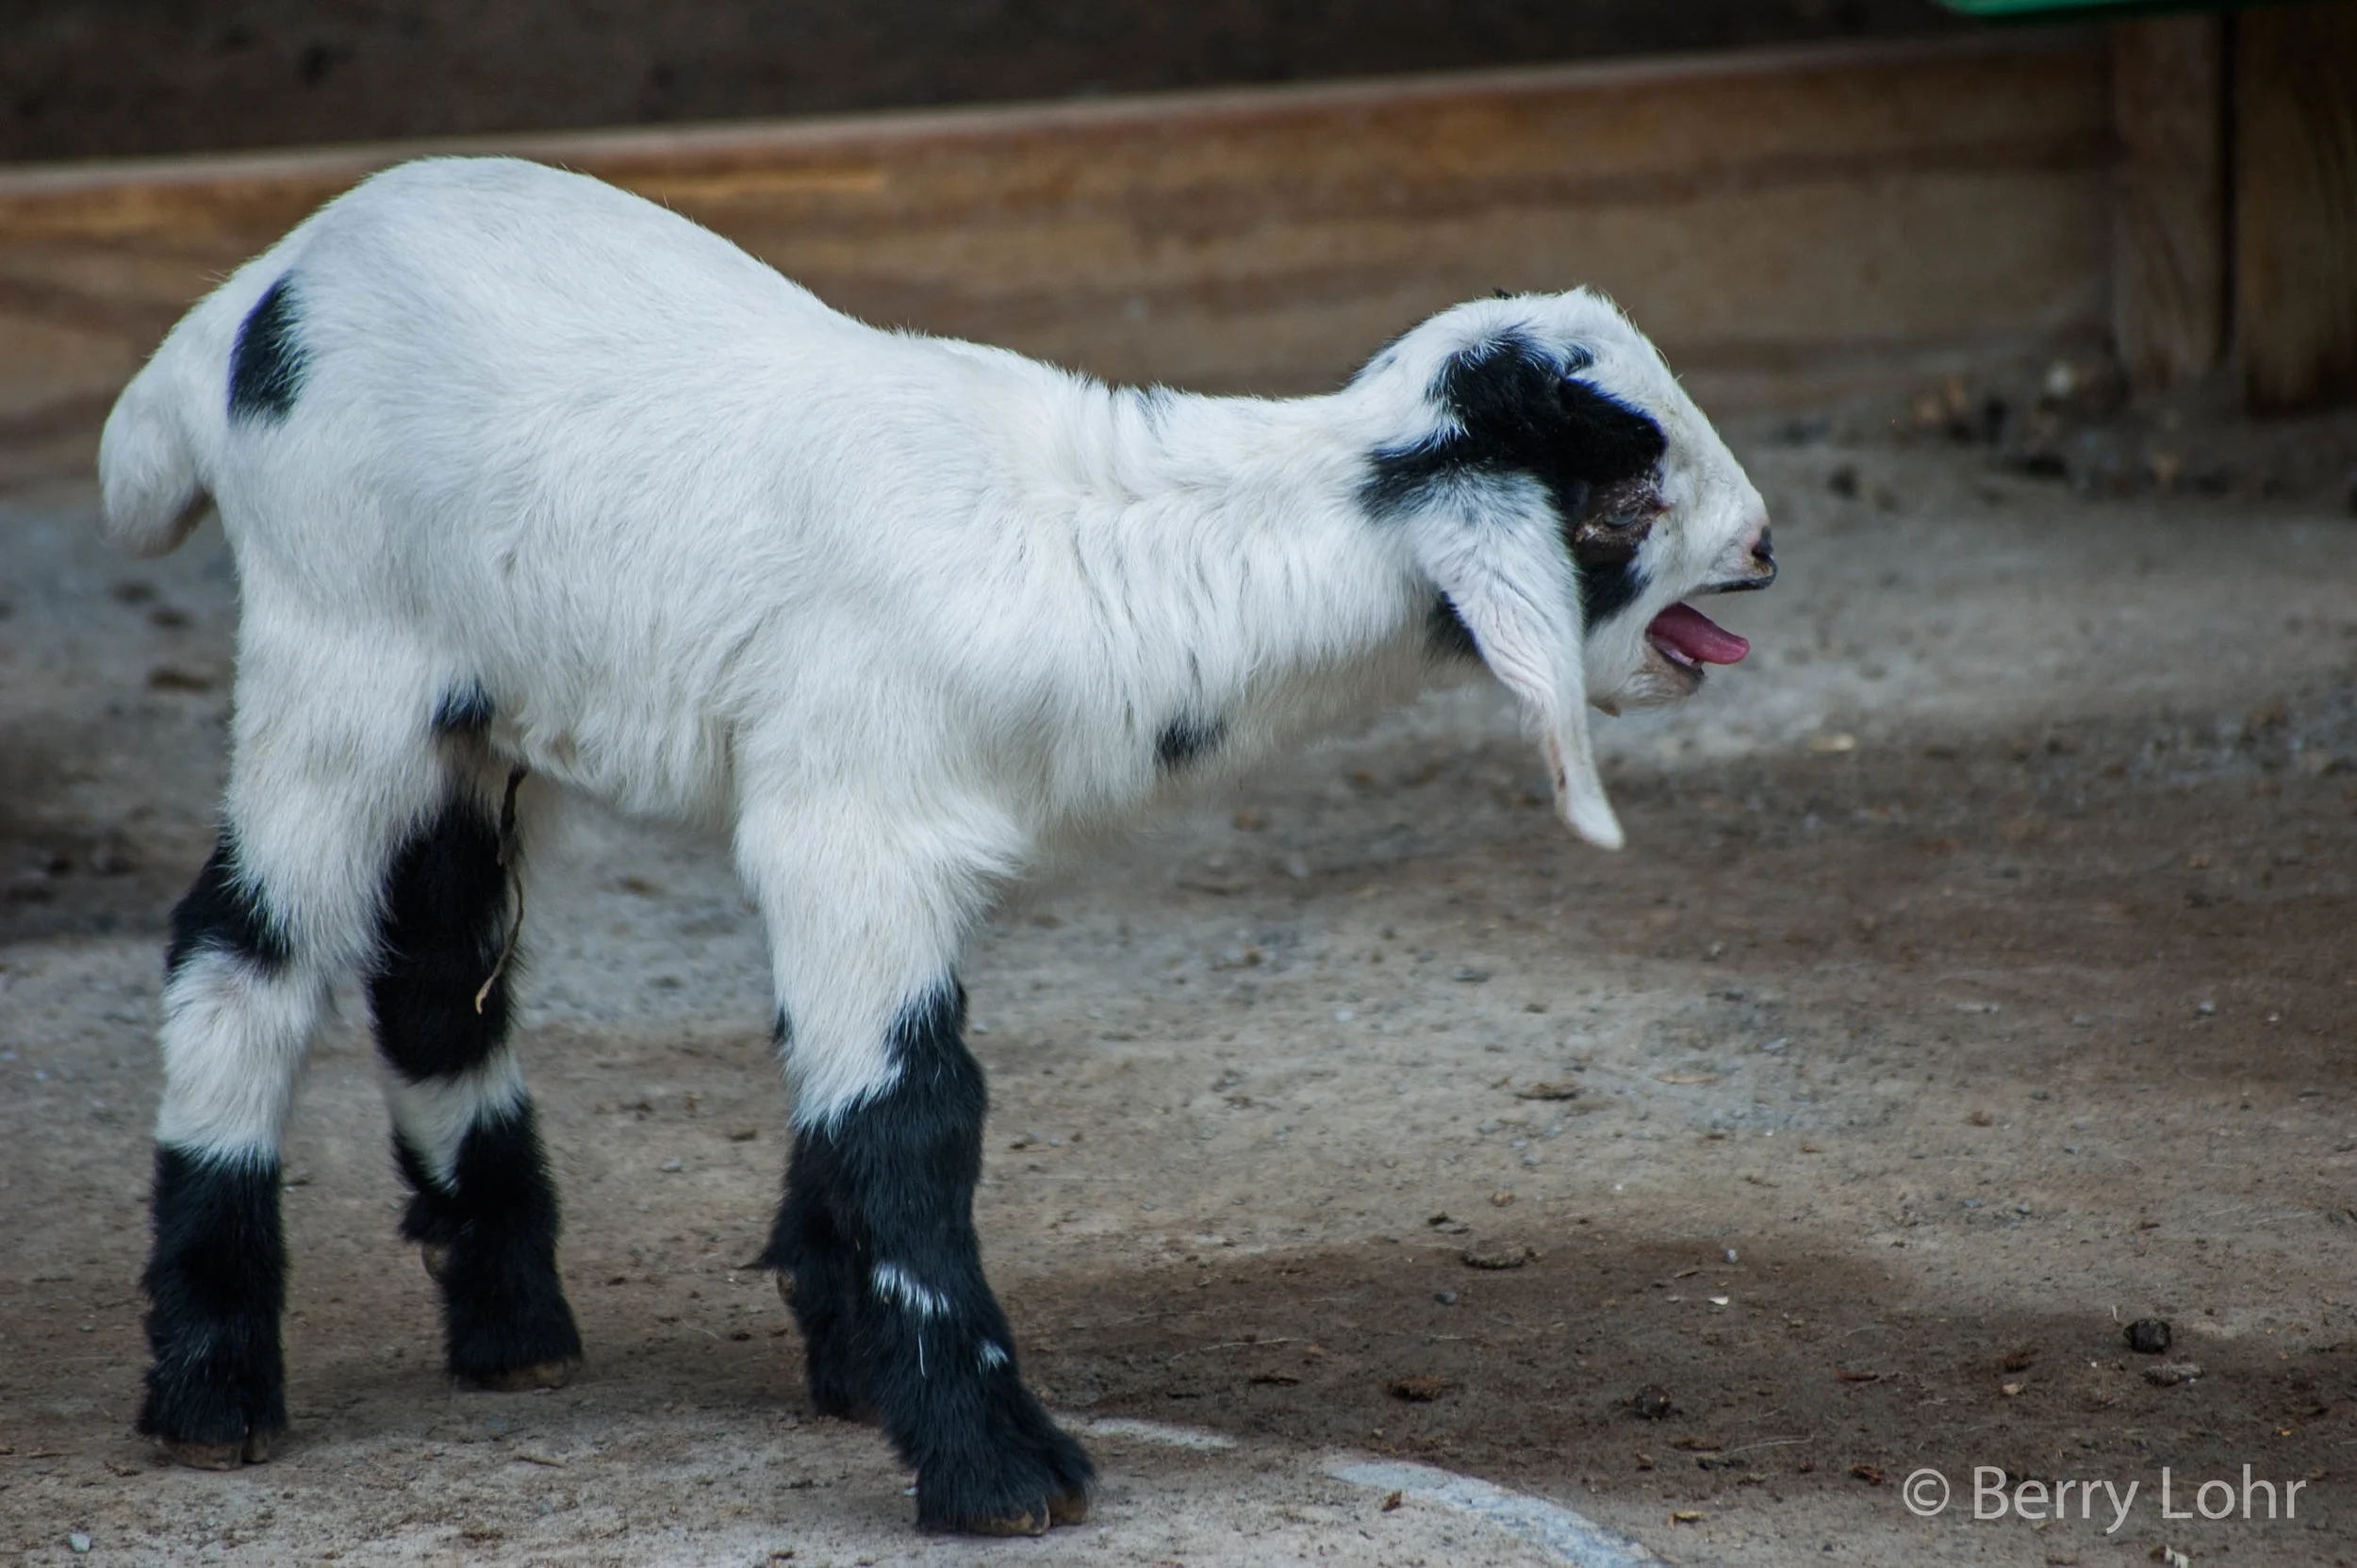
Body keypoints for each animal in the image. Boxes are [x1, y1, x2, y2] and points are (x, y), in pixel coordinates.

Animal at [99, 155, 1774, 1534]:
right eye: (1628, 492)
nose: (1764, 544)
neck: (1101, 546)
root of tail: (256, 295)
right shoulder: (848, 824)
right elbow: (912, 1112)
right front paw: (995, 1464)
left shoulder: (891, 845)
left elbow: (845, 1085)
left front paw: (849, 1350)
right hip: (339, 649)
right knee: (241, 951)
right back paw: (213, 1385)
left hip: (476, 710)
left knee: (440, 955)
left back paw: (512, 1326)